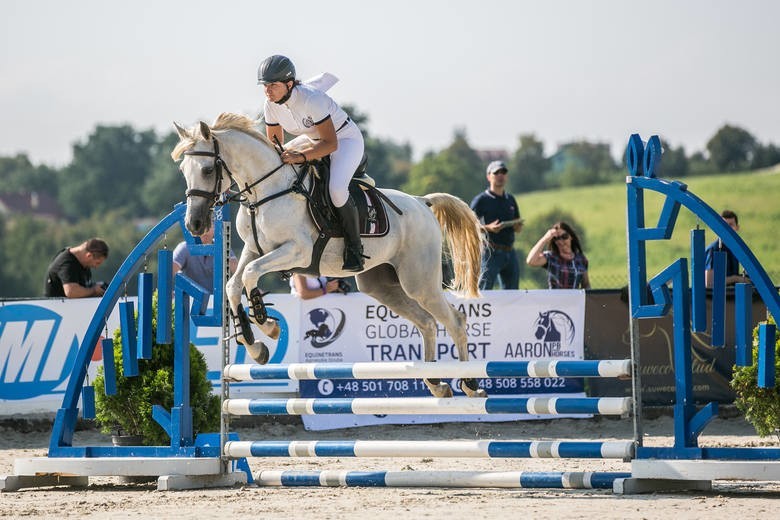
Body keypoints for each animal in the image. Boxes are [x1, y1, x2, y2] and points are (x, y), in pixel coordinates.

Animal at [174, 112, 484, 398]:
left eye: (207, 170)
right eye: (184, 171)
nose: (195, 225)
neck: (266, 193)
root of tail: (422, 203)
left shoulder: (296, 251)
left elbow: (250, 276)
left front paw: (268, 325)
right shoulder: (253, 250)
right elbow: (232, 285)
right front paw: (256, 346)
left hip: (418, 282)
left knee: (454, 321)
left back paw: (470, 384)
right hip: (381, 285)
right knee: (427, 323)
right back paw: (436, 383)